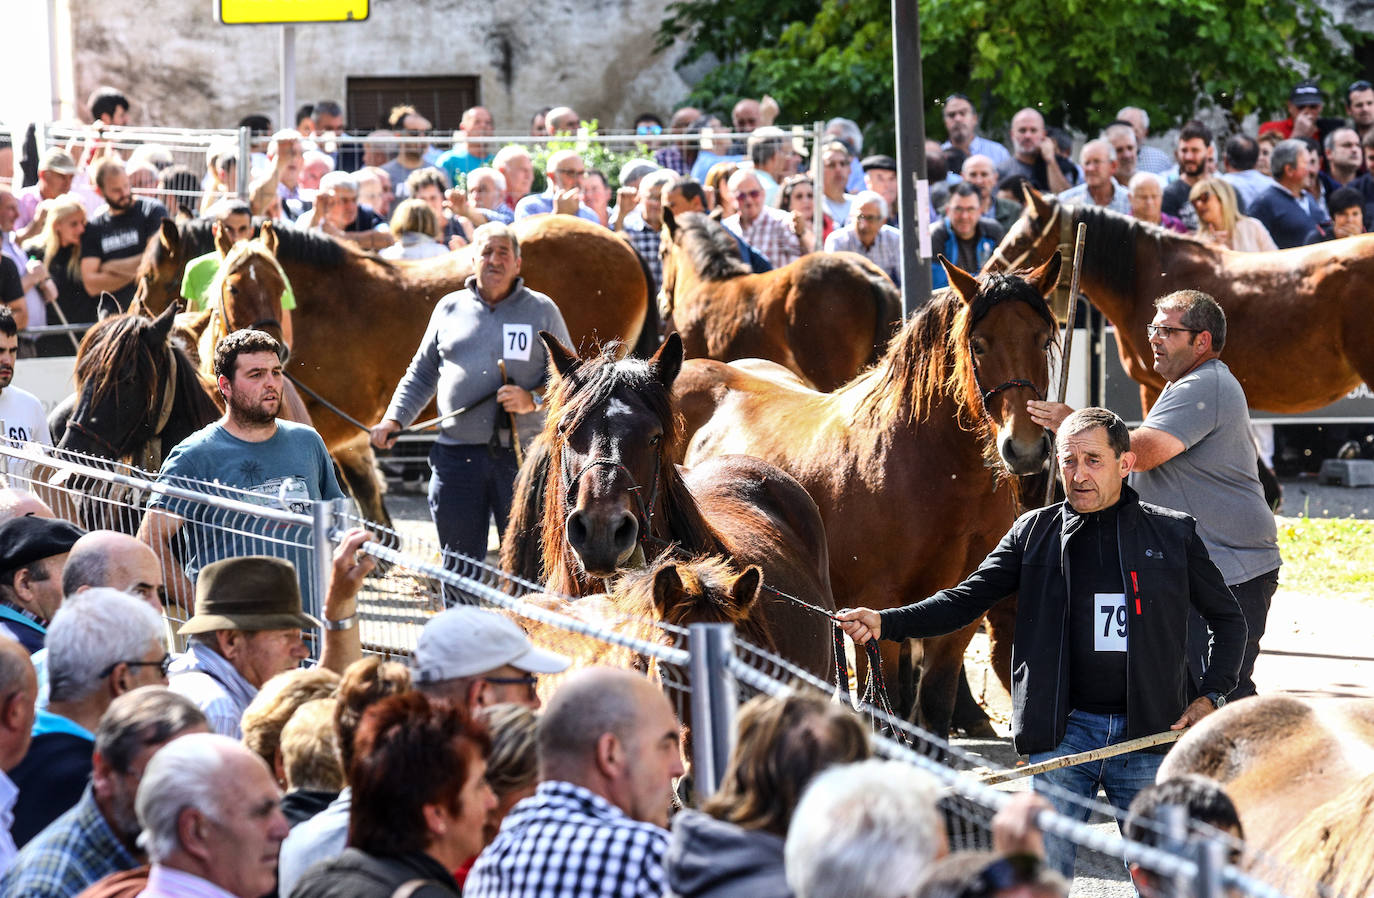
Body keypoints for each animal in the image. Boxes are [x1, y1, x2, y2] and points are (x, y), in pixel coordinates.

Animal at [676, 256, 1060, 735]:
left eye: (1043, 339)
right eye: (979, 344)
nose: (1024, 449)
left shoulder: (962, 609)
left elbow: (934, 704)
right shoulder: (876, 606)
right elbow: (884, 705)